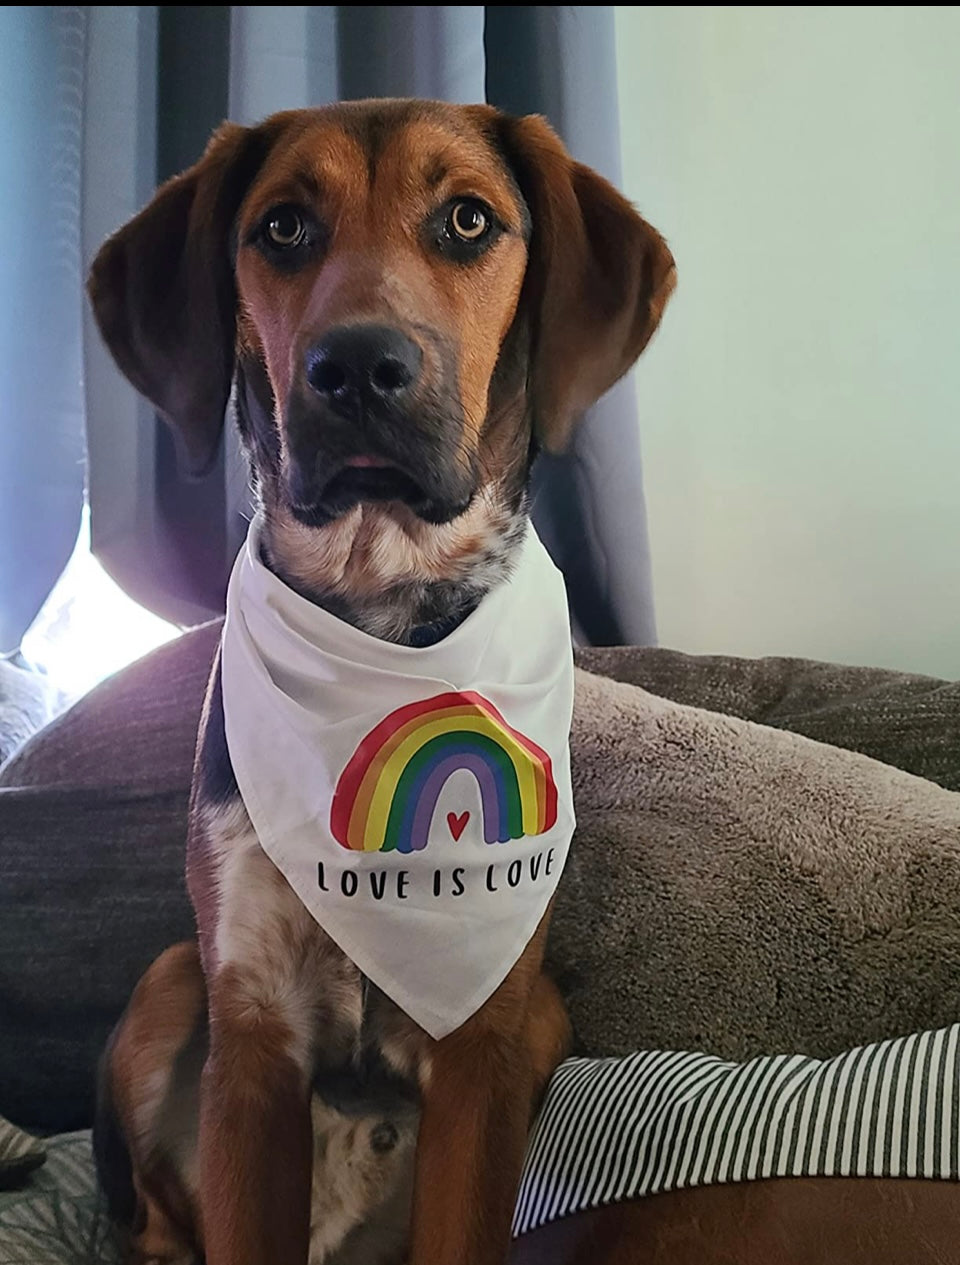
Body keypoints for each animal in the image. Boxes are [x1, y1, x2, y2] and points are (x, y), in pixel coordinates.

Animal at [89, 101, 677, 1265]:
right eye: (280, 226)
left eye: (469, 219)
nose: (357, 365)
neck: (381, 606)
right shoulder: (254, 1037)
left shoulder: (485, 1040)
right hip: (173, 978)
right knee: (162, 1214)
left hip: (542, 1014)